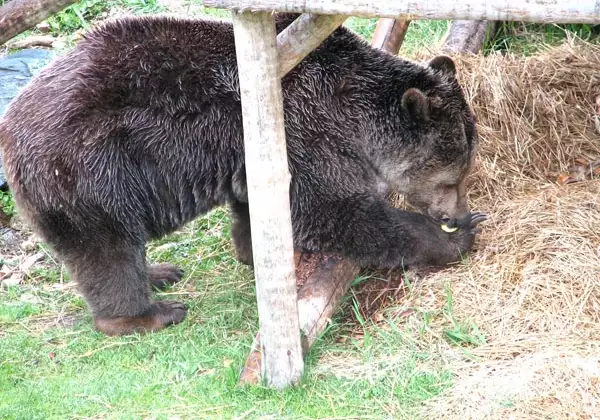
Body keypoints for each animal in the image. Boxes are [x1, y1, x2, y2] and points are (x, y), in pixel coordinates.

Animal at [0, 13, 486, 336]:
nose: (459, 212)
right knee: (106, 250)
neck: (352, 114)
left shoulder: (258, 154)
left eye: (463, 170)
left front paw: (261, 255)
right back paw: (149, 312)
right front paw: (453, 238)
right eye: (452, 178)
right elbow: (336, 211)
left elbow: (259, 213)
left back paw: (158, 271)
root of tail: (11, 125)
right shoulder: (305, 131)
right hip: (88, 171)